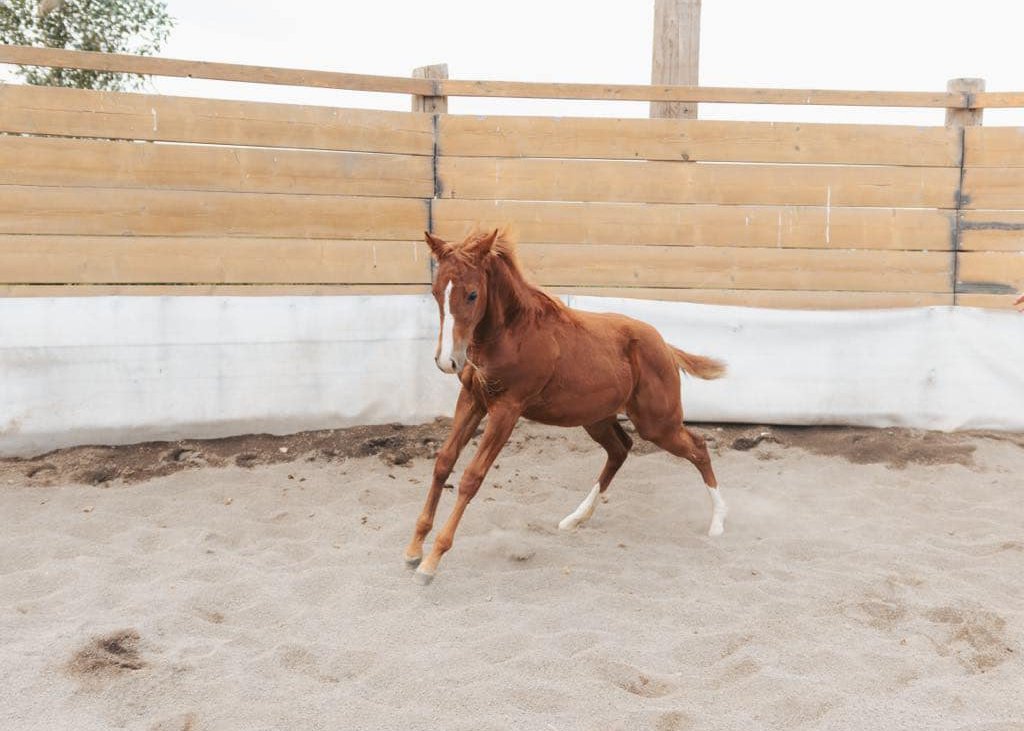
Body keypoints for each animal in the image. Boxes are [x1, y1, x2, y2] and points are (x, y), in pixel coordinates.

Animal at [404, 228, 728, 584]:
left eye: (473, 294)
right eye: (436, 292)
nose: (447, 361)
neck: (511, 333)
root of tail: (665, 346)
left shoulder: (507, 409)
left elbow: (472, 477)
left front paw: (432, 562)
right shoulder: (473, 399)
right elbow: (443, 462)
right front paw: (414, 550)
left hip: (657, 423)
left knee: (697, 447)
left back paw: (717, 523)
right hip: (597, 419)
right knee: (620, 449)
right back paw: (575, 519)